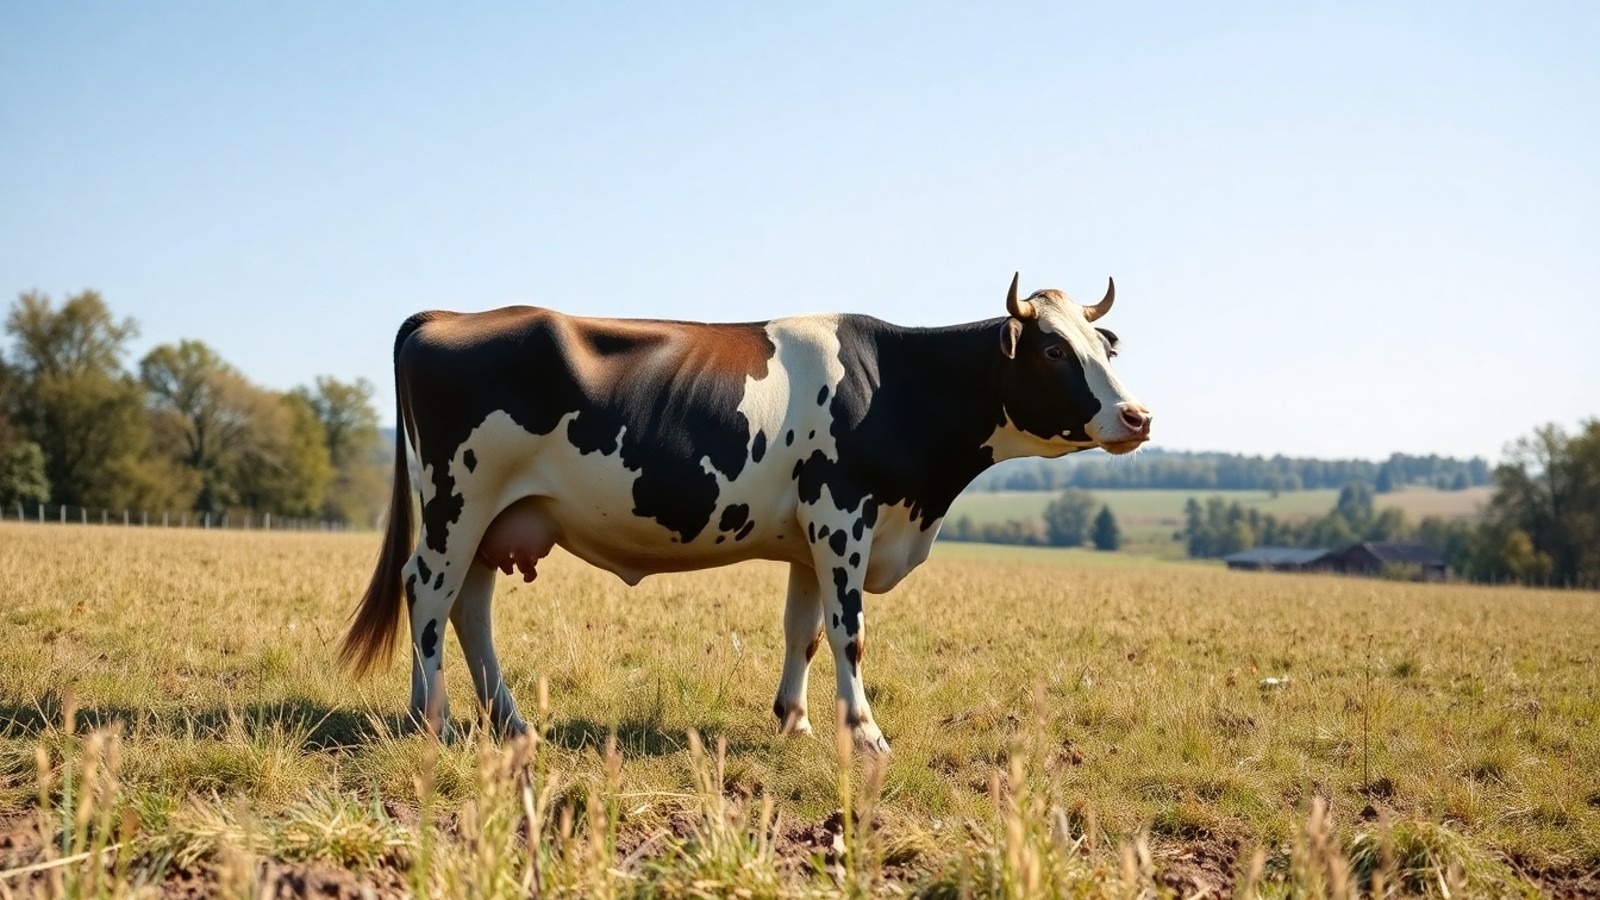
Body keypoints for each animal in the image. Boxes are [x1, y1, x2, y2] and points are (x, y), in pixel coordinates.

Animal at [339, 274, 1151, 753]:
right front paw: (866, 736)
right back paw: (433, 719)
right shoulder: (842, 514)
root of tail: (449, 315)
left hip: (493, 518)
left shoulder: (810, 537)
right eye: (1053, 350)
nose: (1138, 416)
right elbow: (850, 633)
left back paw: (504, 722)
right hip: (457, 500)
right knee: (429, 592)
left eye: (1106, 347)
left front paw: (794, 720)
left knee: (468, 605)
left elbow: (804, 630)